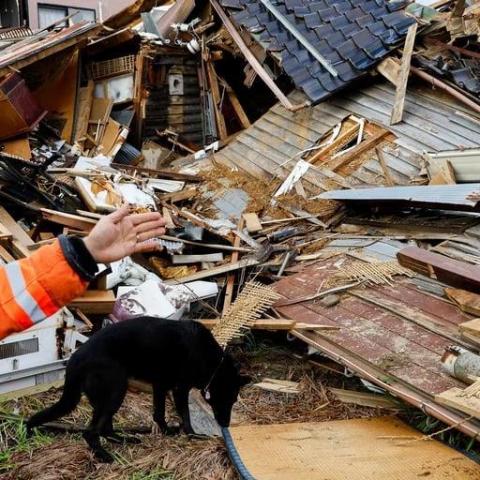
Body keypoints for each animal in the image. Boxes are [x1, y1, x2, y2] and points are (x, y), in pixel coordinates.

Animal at [27, 316, 248, 462]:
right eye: (229, 399)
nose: (226, 424)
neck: (213, 363)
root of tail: (75, 358)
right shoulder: (180, 389)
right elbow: (185, 414)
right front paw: (193, 435)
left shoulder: (161, 386)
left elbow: (159, 413)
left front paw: (167, 431)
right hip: (116, 390)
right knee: (91, 432)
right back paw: (104, 455)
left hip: (107, 397)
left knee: (105, 428)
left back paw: (123, 439)